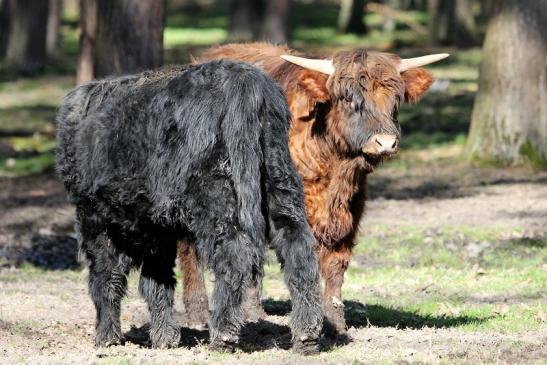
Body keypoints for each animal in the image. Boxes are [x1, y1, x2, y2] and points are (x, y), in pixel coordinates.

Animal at [178, 42, 448, 332]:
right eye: (348, 99)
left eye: (395, 100)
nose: (385, 142)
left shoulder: (351, 209)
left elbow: (336, 264)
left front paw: (335, 321)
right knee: (190, 246)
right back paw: (198, 313)